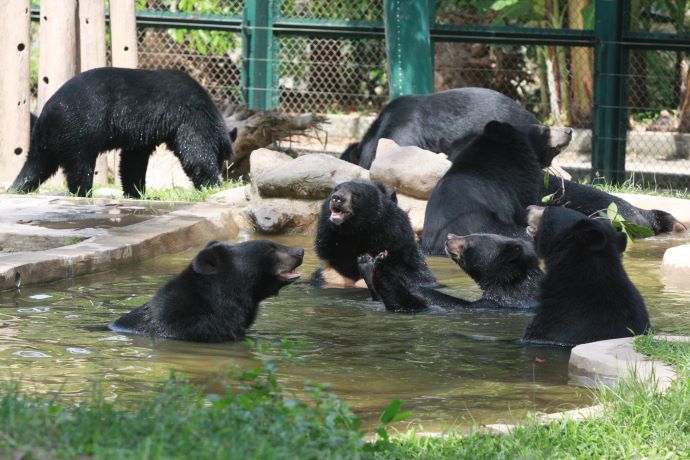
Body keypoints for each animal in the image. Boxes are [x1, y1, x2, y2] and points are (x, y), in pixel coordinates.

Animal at [10, 67, 236, 197]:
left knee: (36, 166)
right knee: (80, 165)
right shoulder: (189, 117)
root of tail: (47, 113)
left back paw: (17, 188)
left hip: (46, 142)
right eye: (221, 159)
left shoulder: (143, 133)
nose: (223, 170)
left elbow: (133, 160)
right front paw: (214, 185)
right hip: (80, 130)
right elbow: (196, 152)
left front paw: (138, 193)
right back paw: (85, 192)